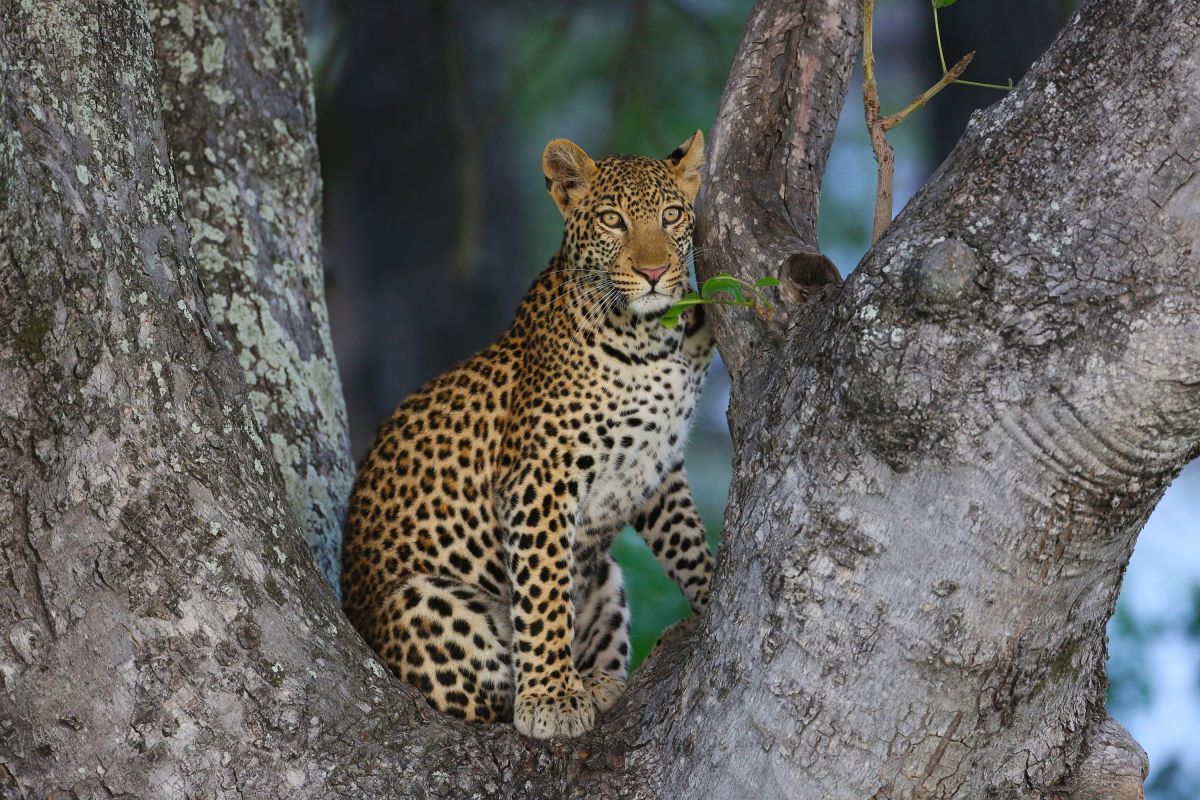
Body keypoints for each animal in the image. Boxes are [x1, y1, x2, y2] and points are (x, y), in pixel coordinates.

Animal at [341, 130, 715, 739]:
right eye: (612, 220)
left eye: (672, 215)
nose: (657, 273)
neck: (649, 340)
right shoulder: (541, 477)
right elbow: (542, 595)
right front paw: (551, 700)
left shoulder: (657, 464)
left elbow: (685, 538)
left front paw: (714, 587)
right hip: (423, 601)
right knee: (481, 702)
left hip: (605, 581)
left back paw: (602, 681)